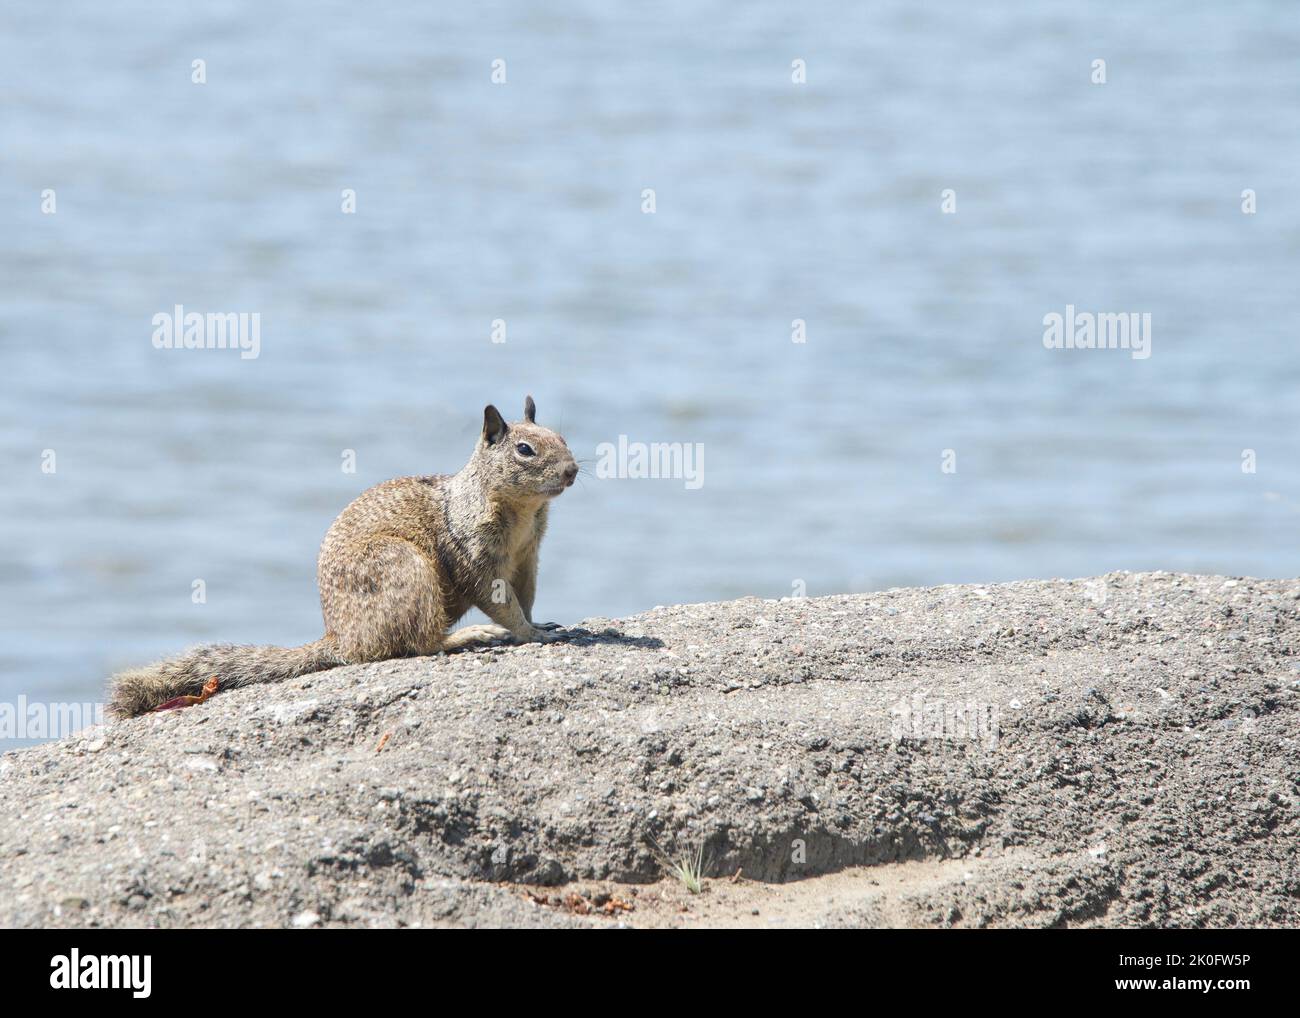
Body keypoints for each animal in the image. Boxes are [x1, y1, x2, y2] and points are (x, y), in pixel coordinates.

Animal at [109, 397, 577, 717]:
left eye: (563, 438)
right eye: (524, 450)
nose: (573, 470)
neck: (523, 512)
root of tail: (340, 638)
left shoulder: (529, 556)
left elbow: (526, 596)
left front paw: (539, 624)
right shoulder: (476, 553)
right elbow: (499, 600)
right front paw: (531, 634)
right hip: (405, 569)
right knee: (418, 644)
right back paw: (466, 636)